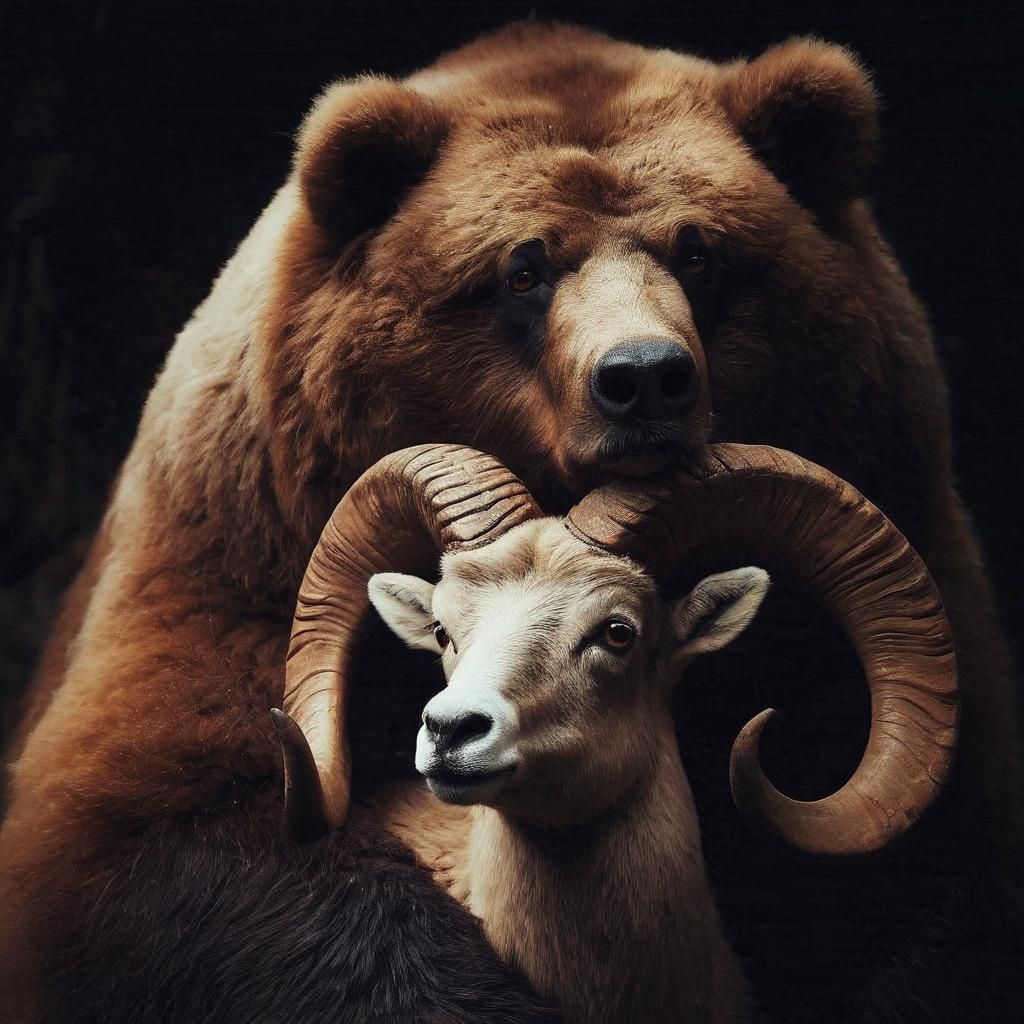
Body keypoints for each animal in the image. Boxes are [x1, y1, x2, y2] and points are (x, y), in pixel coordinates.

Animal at [2, 20, 1021, 1024]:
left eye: (701, 252)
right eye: (521, 270)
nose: (644, 375)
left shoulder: (893, 564)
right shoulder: (230, 563)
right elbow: (170, 840)